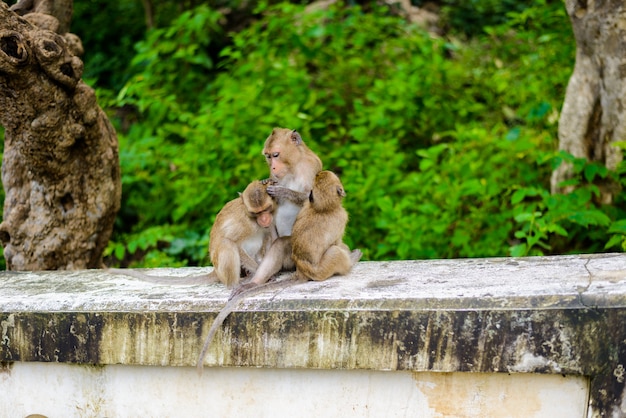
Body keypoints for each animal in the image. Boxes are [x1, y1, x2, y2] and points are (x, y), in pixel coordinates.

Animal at [106, 180, 276, 288]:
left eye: (265, 210)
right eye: (257, 212)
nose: (264, 219)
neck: (254, 222)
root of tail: (216, 271)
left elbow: (267, 237)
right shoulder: (244, 224)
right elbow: (230, 240)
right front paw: (259, 270)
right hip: (221, 268)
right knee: (226, 245)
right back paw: (235, 283)